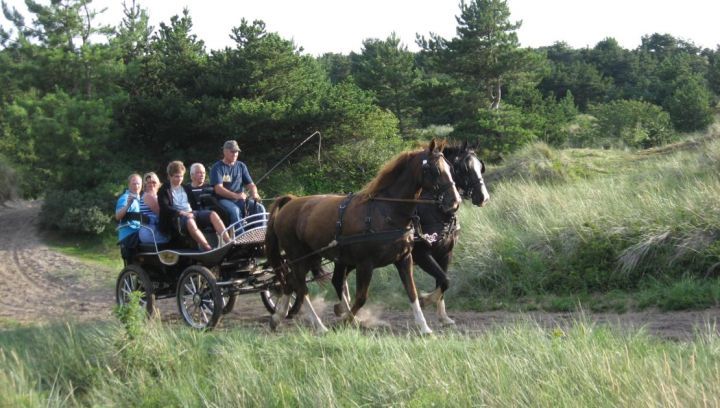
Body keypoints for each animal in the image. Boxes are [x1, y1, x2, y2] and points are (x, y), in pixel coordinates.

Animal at [266, 139, 462, 334]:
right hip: (299, 256)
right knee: (301, 286)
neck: (385, 211)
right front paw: (346, 320)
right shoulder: (366, 264)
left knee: (293, 282)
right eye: (435, 170)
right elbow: (361, 297)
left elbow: (413, 292)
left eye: (451, 168)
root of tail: (291, 202)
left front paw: (424, 326)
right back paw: (320, 325)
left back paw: (278, 317)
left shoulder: (404, 259)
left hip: (314, 256)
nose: (454, 201)